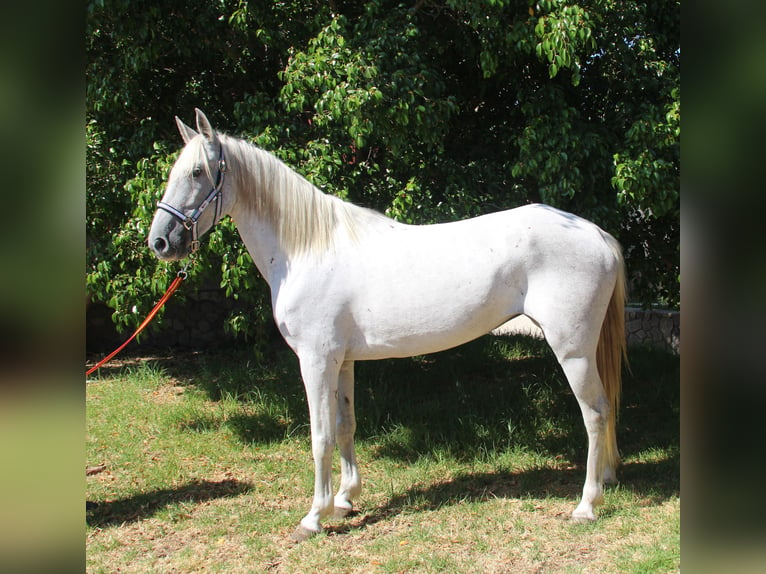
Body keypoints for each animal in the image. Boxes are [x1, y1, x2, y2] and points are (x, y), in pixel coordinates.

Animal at [147, 110, 628, 544]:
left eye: (197, 172)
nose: (160, 241)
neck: (308, 248)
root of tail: (596, 234)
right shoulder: (342, 362)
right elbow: (345, 425)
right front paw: (345, 498)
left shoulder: (315, 361)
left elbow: (320, 435)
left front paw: (313, 517)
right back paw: (607, 479)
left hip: (573, 351)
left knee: (595, 412)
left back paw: (587, 504)